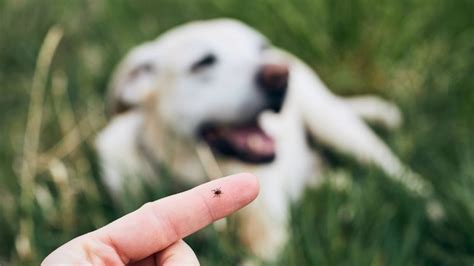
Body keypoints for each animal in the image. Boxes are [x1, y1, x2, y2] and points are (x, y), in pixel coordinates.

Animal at [95, 18, 430, 262]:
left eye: (260, 48)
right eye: (203, 62)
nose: (280, 75)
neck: (196, 171)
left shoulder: (269, 241)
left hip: (335, 125)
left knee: (394, 170)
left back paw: (431, 207)